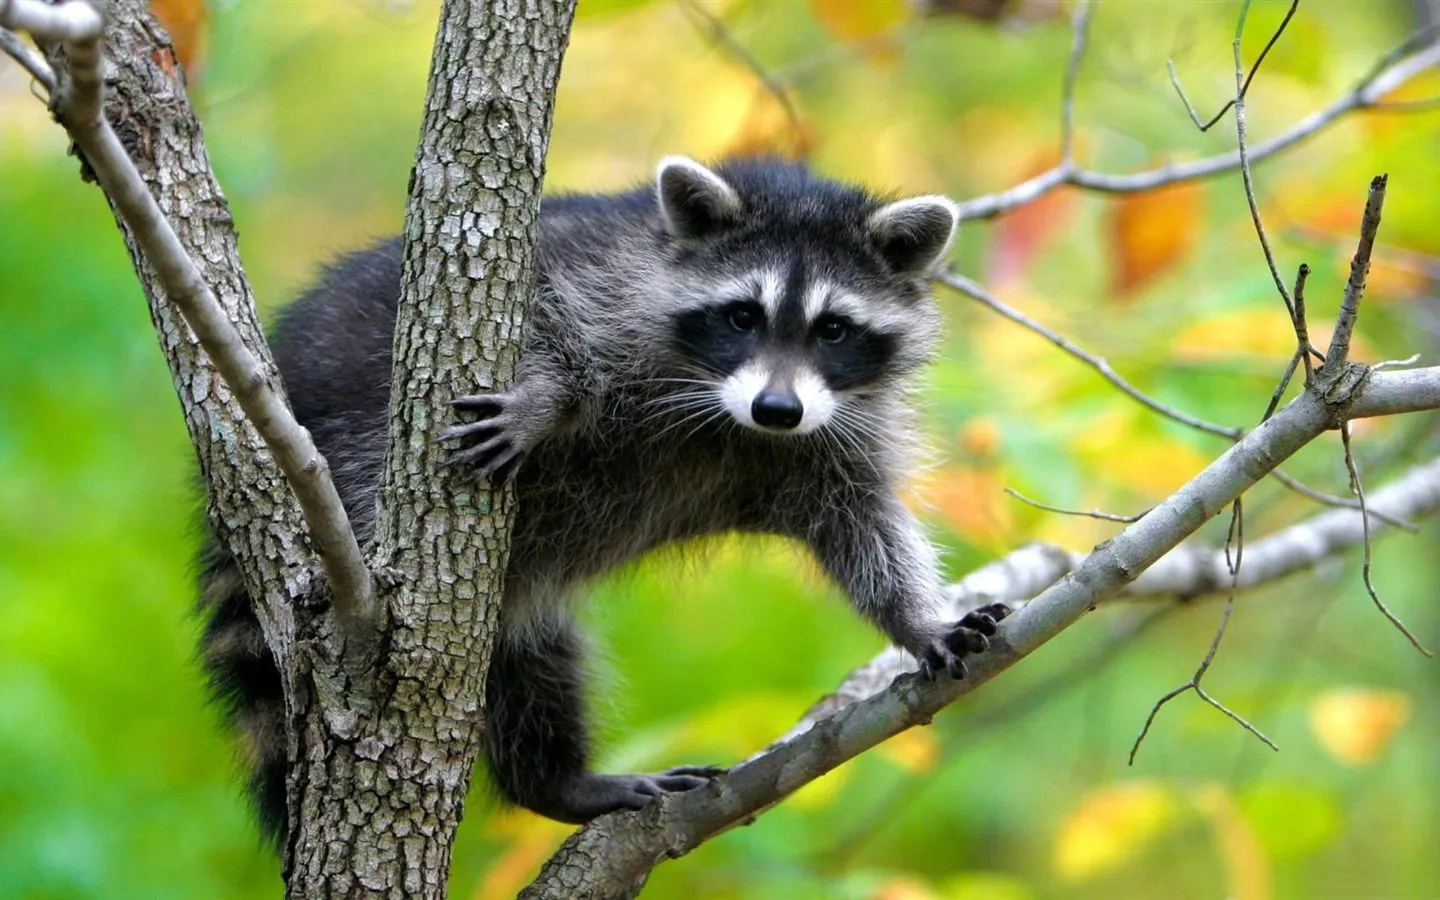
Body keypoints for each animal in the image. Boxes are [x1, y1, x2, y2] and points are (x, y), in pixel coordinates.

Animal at [199, 156, 1009, 840]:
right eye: (742, 315)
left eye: (834, 329)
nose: (777, 409)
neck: (731, 418)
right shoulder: (600, 278)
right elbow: (546, 317)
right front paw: (545, 399)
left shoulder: (833, 437)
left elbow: (863, 527)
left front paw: (918, 620)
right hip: (353, 444)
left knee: (531, 663)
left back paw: (554, 781)